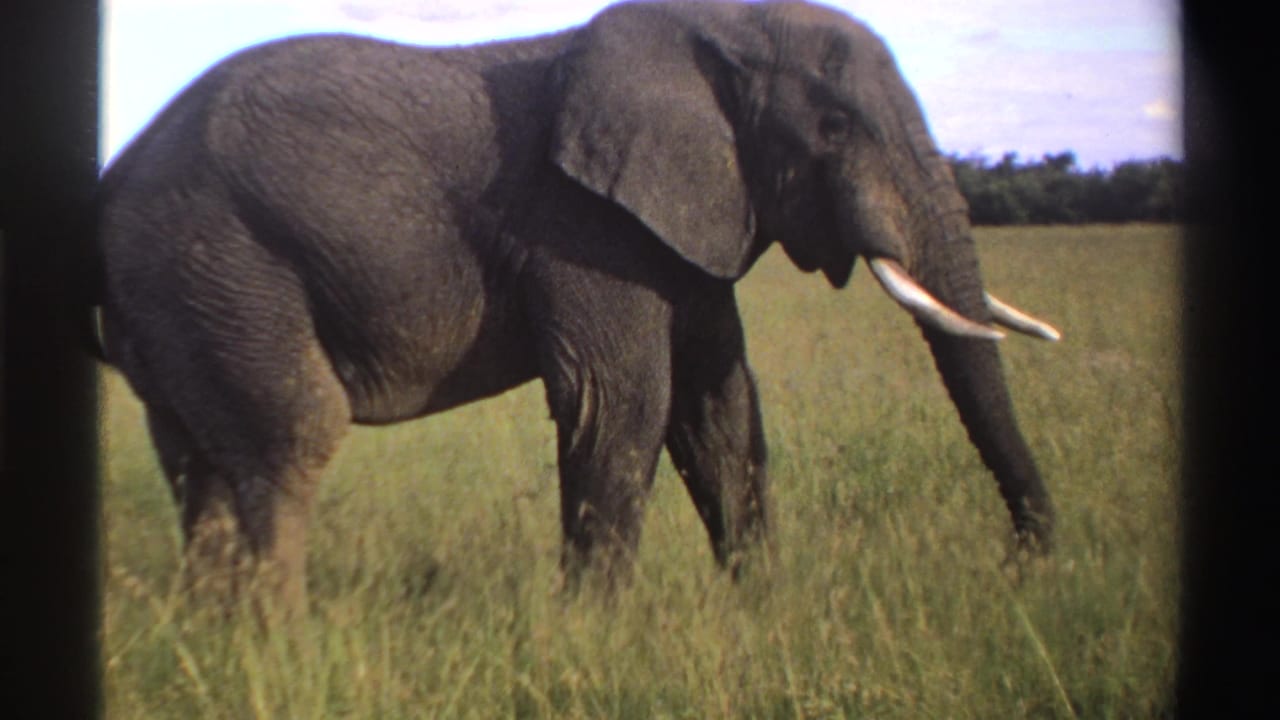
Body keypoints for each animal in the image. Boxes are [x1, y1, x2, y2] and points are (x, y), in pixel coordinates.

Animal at [88, 0, 1060, 614]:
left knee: (200, 462)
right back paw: (285, 649)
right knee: (292, 435)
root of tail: (114, 177)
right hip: (215, 257)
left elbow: (720, 411)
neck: (715, 25)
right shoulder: (580, 225)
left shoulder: (681, 222)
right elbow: (620, 403)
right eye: (834, 129)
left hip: (181, 294)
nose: (1020, 570)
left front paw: (760, 610)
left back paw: (220, 641)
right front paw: (597, 634)